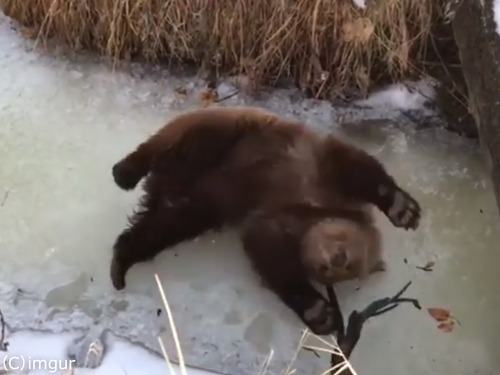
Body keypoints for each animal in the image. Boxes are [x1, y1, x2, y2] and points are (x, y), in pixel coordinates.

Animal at [110, 105, 422, 334]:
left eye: (338, 270)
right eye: (344, 255)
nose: (332, 260)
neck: (319, 211)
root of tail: (166, 181)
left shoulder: (278, 217)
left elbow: (269, 251)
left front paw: (319, 314)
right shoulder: (317, 172)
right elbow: (357, 167)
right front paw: (403, 209)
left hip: (199, 205)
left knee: (160, 227)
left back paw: (120, 265)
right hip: (232, 135)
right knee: (181, 136)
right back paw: (124, 171)